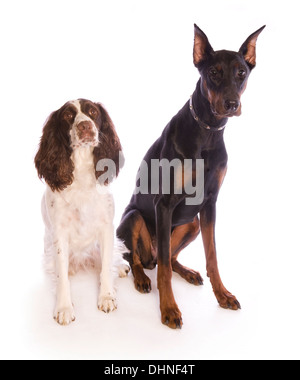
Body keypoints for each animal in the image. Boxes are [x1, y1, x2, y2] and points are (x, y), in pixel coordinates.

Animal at [35, 99, 129, 326]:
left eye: (93, 112)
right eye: (68, 116)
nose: (85, 126)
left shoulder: (106, 227)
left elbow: (106, 266)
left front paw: (107, 297)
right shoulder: (59, 234)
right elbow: (61, 276)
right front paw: (64, 308)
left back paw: (121, 266)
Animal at [117, 25, 264, 328]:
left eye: (241, 73)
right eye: (214, 72)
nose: (232, 104)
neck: (208, 130)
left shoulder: (209, 204)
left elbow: (212, 256)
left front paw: (222, 294)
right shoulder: (164, 204)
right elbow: (162, 270)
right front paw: (168, 308)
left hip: (192, 224)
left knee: (168, 258)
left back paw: (186, 271)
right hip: (133, 218)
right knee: (142, 259)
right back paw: (141, 278)